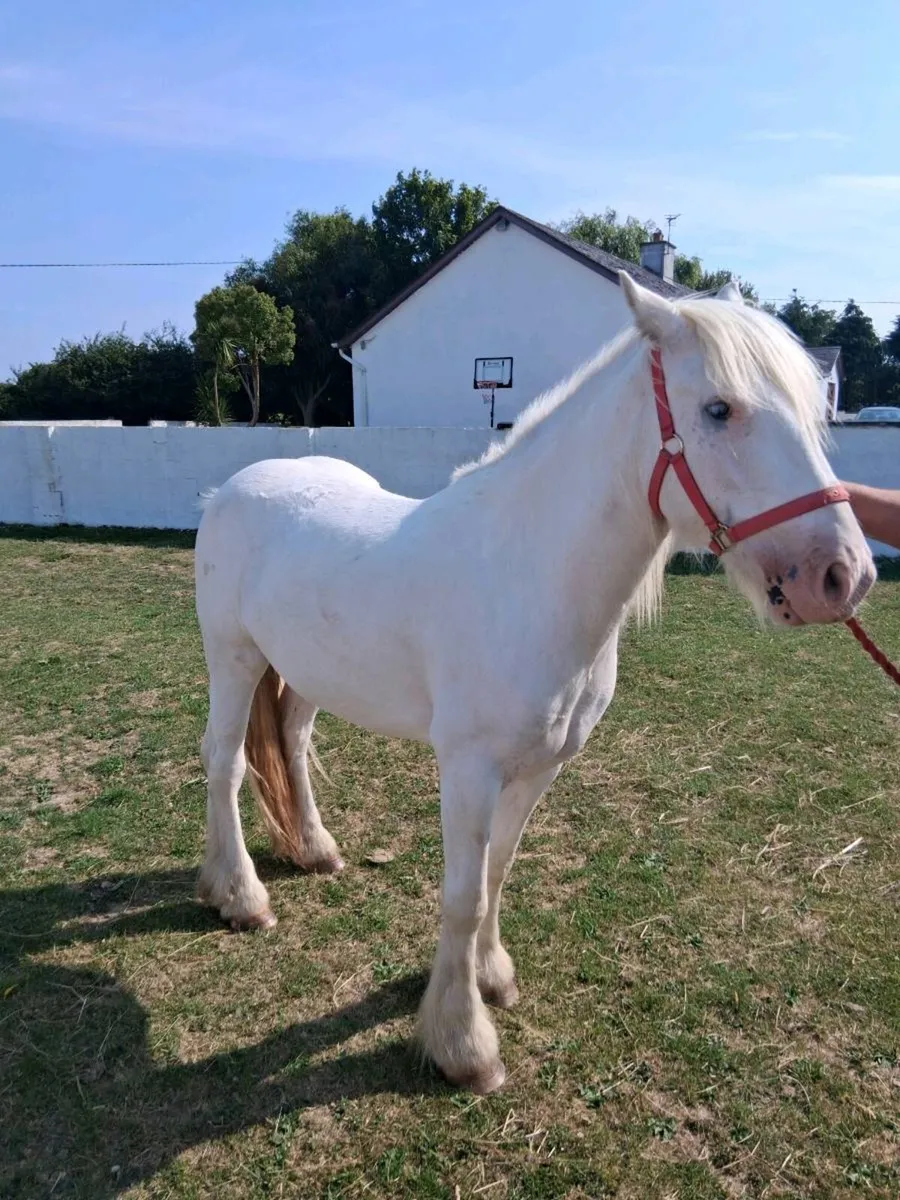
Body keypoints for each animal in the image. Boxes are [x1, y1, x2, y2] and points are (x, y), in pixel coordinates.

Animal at [193, 274, 875, 1094]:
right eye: (720, 409)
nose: (842, 576)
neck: (526, 572)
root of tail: (232, 488)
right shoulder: (468, 769)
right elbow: (461, 895)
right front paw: (463, 1045)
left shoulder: (540, 767)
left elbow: (497, 872)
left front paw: (491, 978)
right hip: (233, 658)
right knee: (226, 763)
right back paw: (239, 896)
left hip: (303, 671)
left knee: (291, 744)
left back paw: (315, 849)